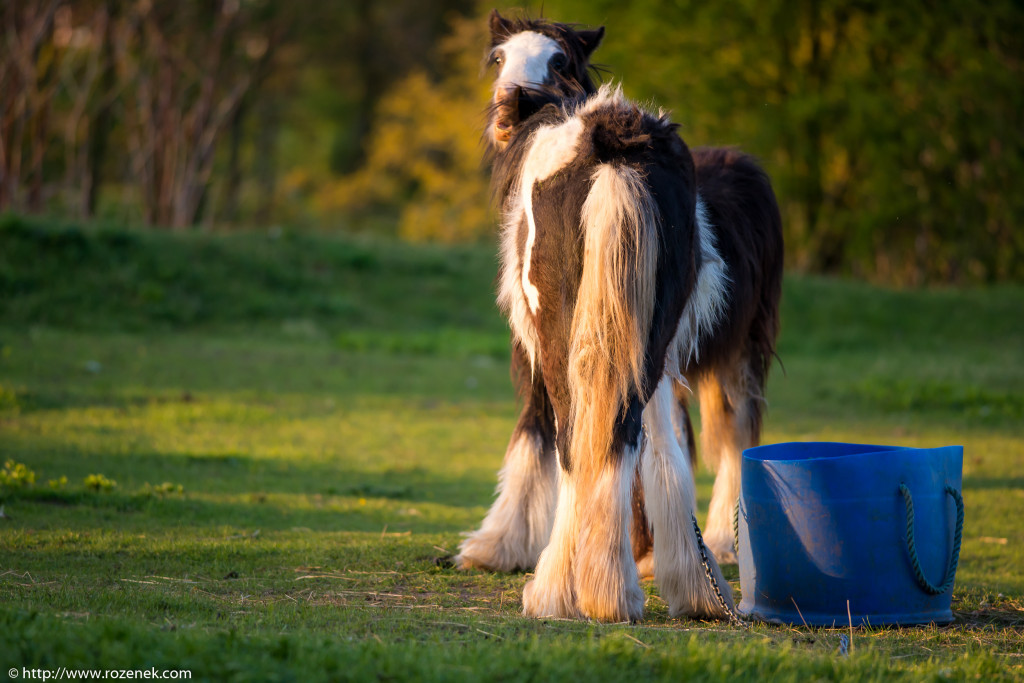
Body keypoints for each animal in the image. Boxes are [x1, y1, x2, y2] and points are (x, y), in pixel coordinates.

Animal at [456, 10, 782, 626]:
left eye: (558, 58)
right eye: (499, 57)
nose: (506, 114)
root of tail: (613, 144)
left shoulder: (533, 349)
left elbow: (535, 435)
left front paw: (496, 547)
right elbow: (663, 452)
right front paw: (671, 568)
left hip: (598, 342)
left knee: (581, 443)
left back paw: (562, 592)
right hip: (656, 340)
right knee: (637, 437)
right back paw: (659, 584)